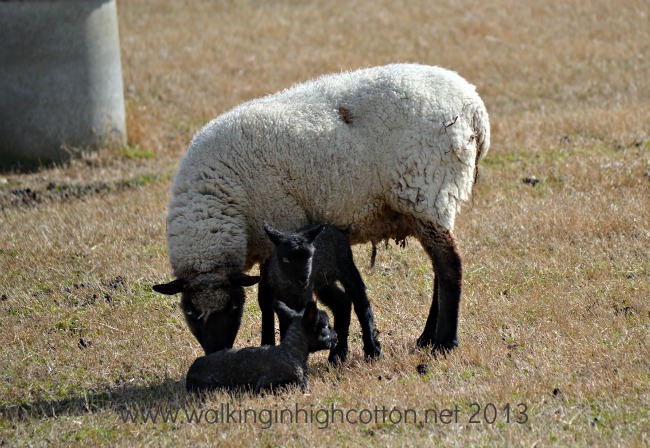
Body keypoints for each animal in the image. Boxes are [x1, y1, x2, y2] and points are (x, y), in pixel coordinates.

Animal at [259, 221, 380, 364]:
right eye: (285, 259)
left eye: (309, 257)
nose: (303, 278)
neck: (288, 286)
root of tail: (334, 228)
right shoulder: (272, 294)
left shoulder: (303, 298)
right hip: (323, 281)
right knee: (343, 302)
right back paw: (337, 356)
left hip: (346, 268)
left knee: (361, 302)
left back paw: (372, 350)